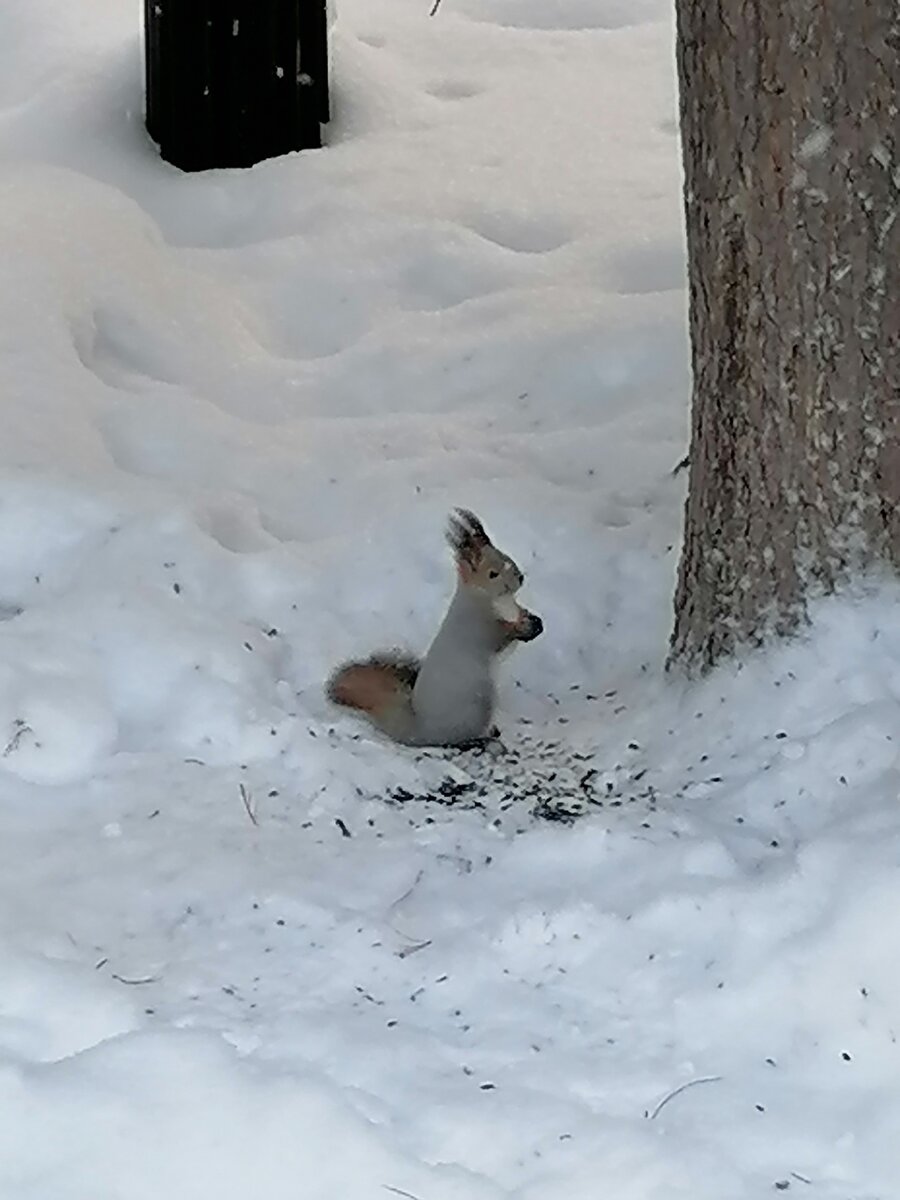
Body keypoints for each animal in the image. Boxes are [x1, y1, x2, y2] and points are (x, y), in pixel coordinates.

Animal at [328, 508, 547, 748]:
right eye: (492, 574)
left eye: (507, 558)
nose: (520, 577)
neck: (499, 601)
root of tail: (421, 731)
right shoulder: (479, 627)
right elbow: (500, 637)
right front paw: (522, 629)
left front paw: (534, 620)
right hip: (477, 704)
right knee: (456, 739)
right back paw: (479, 739)